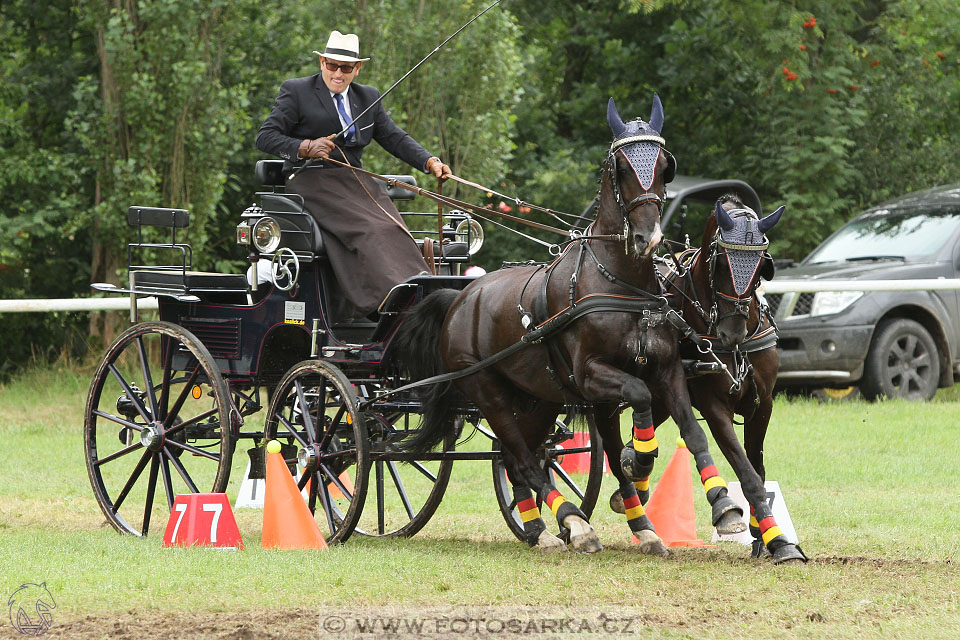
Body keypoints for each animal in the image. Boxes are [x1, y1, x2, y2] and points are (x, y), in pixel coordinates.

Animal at [394, 96, 752, 556]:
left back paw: (540, 530)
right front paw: (639, 460)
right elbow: (637, 405)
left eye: (663, 165)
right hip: (488, 392)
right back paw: (573, 523)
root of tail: (460, 296)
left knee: (516, 455)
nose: (648, 238)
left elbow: (692, 433)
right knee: (521, 456)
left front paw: (721, 506)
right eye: (622, 167)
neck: (621, 284)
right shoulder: (591, 376)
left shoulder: (666, 370)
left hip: (539, 396)